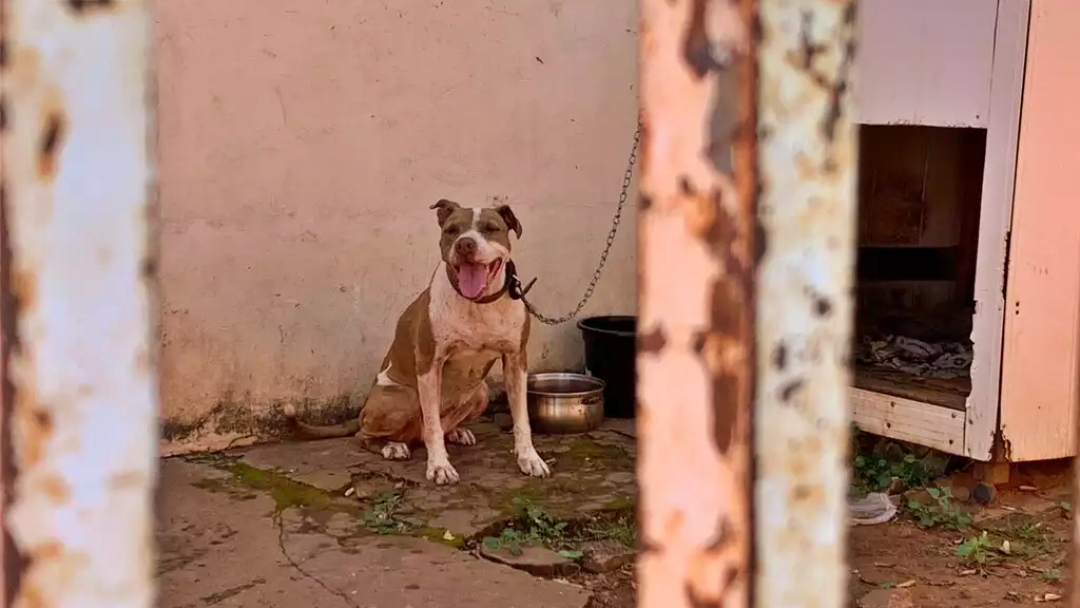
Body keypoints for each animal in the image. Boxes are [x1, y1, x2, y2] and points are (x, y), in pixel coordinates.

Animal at [282, 199, 552, 485]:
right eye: (452, 230)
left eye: (491, 228)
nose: (465, 244)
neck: (477, 304)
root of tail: (363, 411)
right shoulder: (429, 364)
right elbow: (432, 424)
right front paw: (439, 466)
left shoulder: (515, 360)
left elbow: (522, 419)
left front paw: (529, 458)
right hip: (405, 397)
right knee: (368, 435)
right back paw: (392, 446)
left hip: (481, 392)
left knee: (441, 426)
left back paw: (456, 432)